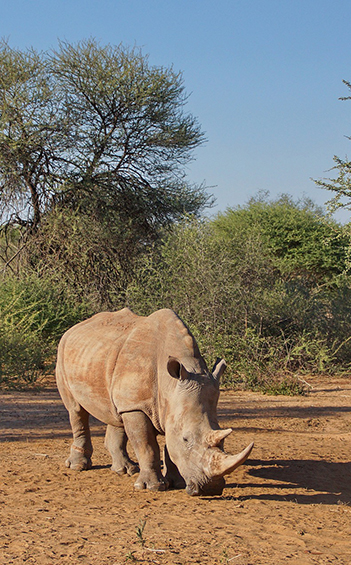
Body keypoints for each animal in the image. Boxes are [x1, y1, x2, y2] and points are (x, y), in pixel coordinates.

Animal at [55, 306, 253, 496]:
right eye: (186, 439)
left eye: (223, 440)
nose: (211, 488)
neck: (170, 386)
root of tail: (74, 328)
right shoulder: (138, 407)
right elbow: (147, 445)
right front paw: (152, 487)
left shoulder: (167, 406)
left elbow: (169, 447)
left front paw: (178, 483)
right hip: (62, 353)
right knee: (76, 410)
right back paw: (78, 467)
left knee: (116, 413)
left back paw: (125, 470)